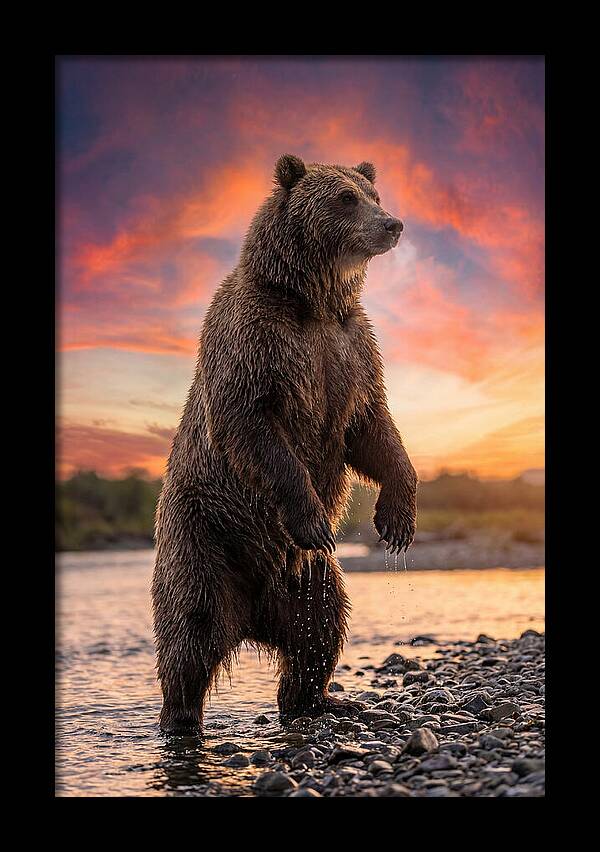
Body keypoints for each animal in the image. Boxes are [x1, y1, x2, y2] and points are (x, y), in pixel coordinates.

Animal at [152, 154, 418, 734]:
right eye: (345, 198)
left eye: (373, 193)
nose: (392, 224)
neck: (312, 301)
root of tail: (252, 615)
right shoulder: (257, 341)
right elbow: (253, 426)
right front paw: (315, 517)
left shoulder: (351, 350)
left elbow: (373, 428)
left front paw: (397, 519)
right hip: (204, 535)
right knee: (191, 629)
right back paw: (180, 718)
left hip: (309, 578)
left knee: (320, 626)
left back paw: (321, 698)